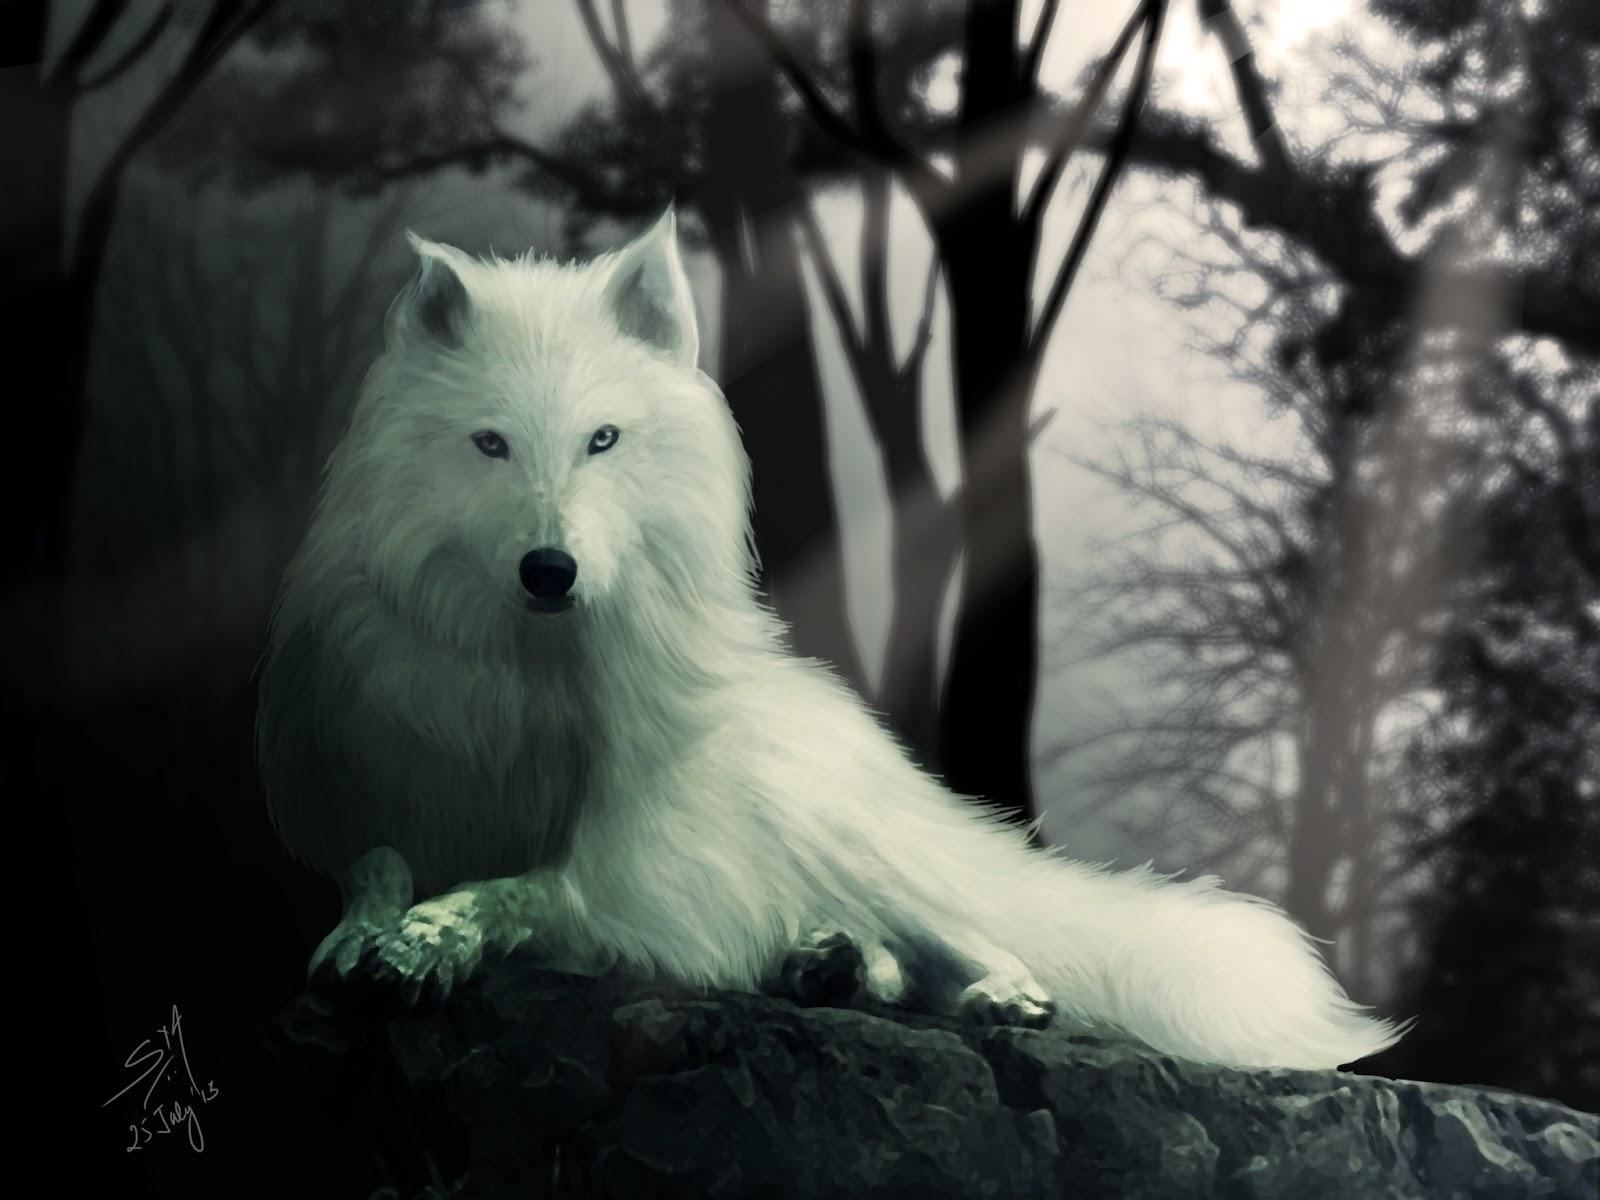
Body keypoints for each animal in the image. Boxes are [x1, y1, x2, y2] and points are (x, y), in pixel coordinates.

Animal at [257, 210, 1407, 1070]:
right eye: (490, 444)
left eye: (602, 441)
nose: (551, 570)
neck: (525, 672)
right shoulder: (363, 788)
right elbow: (377, 865)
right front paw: (366, 934)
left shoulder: (624, 865)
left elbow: (521, 889)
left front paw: (432, 938)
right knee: (878, 952)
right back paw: (829, 965)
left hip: (852, 843)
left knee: (968, 936)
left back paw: (994, 994)